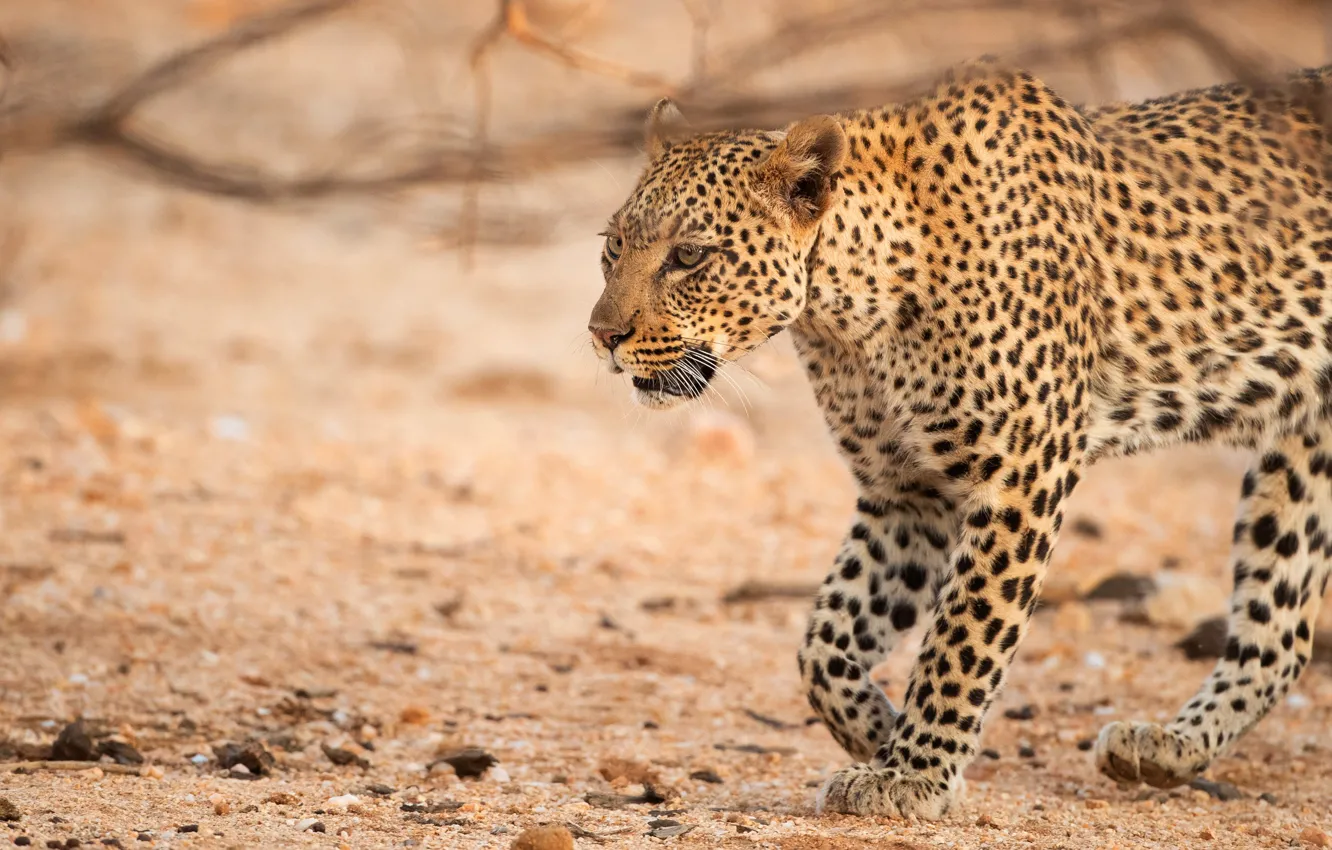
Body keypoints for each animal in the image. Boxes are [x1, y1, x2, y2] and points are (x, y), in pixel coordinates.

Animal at [586, 57, 1332, 820]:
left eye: (690, 256)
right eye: (612, 248)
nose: (602, 336)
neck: (850, 316)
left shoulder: (1020, 477)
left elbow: (962, 637)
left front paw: (911, 773)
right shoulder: (906, 492)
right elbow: (824, 641)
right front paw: (881, 735)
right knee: (1283, 631)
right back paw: (1167, 747)